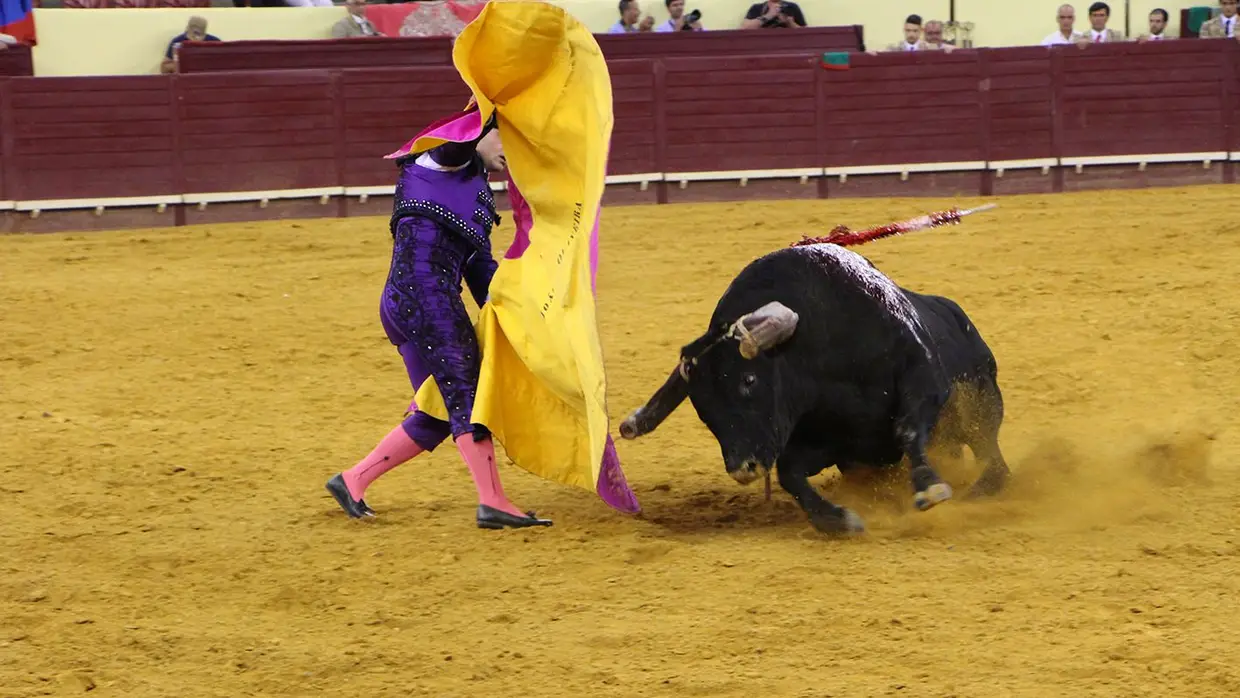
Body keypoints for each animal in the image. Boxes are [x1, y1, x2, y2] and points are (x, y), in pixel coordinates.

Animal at [615, 242, 1011, 533]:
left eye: (749, 380)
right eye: (701, 407)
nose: (743, 467)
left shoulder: (924, 380)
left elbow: (908, 429)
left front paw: (929, 487)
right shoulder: (831, 441)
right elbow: (789, 472)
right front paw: (838, 519)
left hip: (982, 405)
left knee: (991, 453)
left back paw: (981, 490)